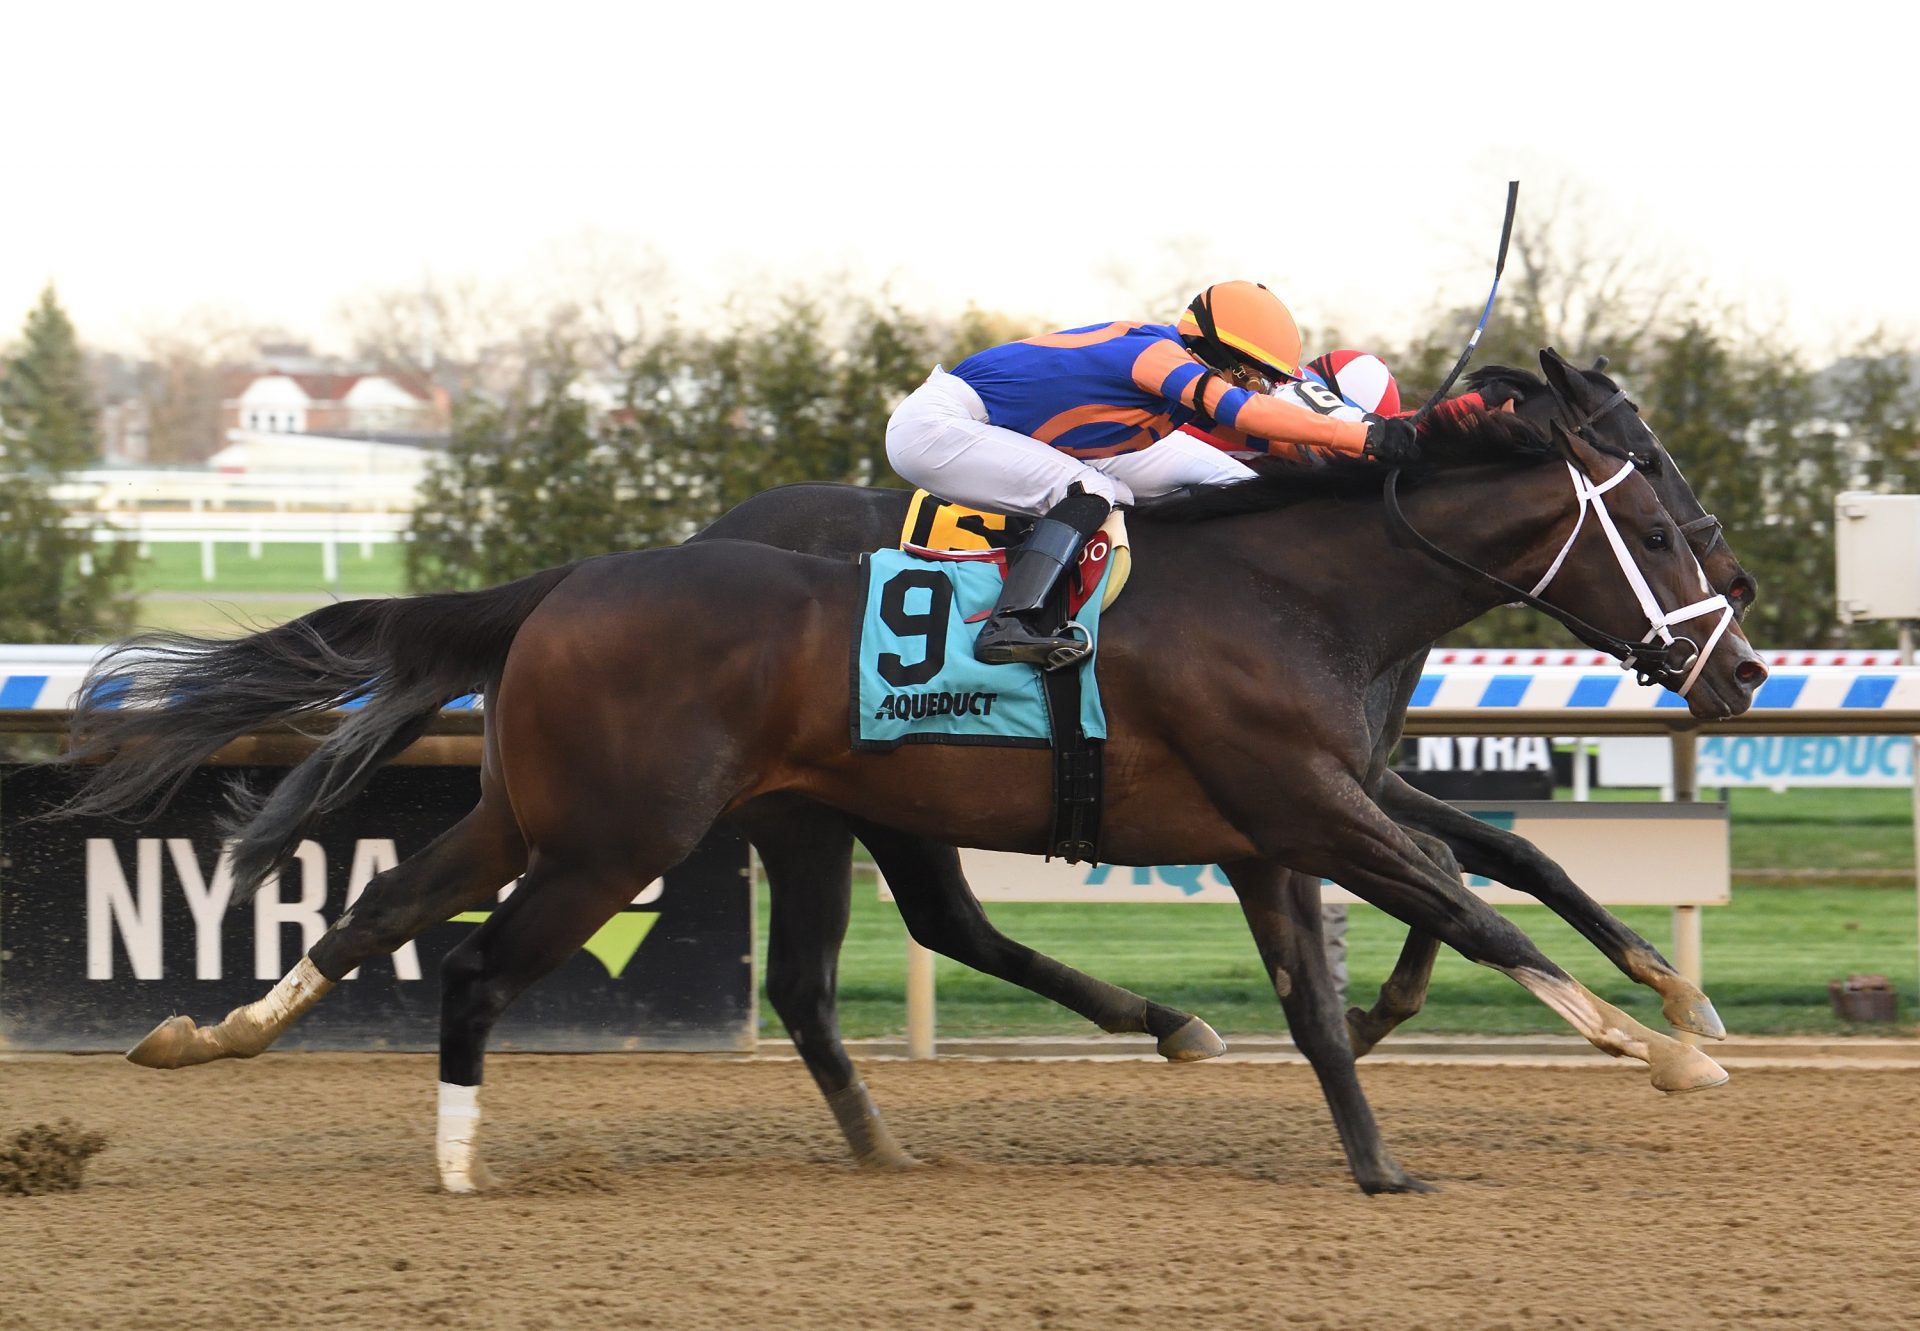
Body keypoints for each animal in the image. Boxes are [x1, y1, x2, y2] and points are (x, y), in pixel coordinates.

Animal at [67, 389, 1758, 1190]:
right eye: (1663, 529)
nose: (1737, 665)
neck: (1292, 586)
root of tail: (571, 580)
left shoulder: (1287, 822)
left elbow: (1349, 986)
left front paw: (1384, 1160)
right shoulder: (1312, 802)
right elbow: (1479, 909)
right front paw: (1667, 1043)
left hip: (560, 811)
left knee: (389, 907)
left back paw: (208, 1032)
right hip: (627, 836)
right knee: (478, 960)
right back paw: (456, 1157)